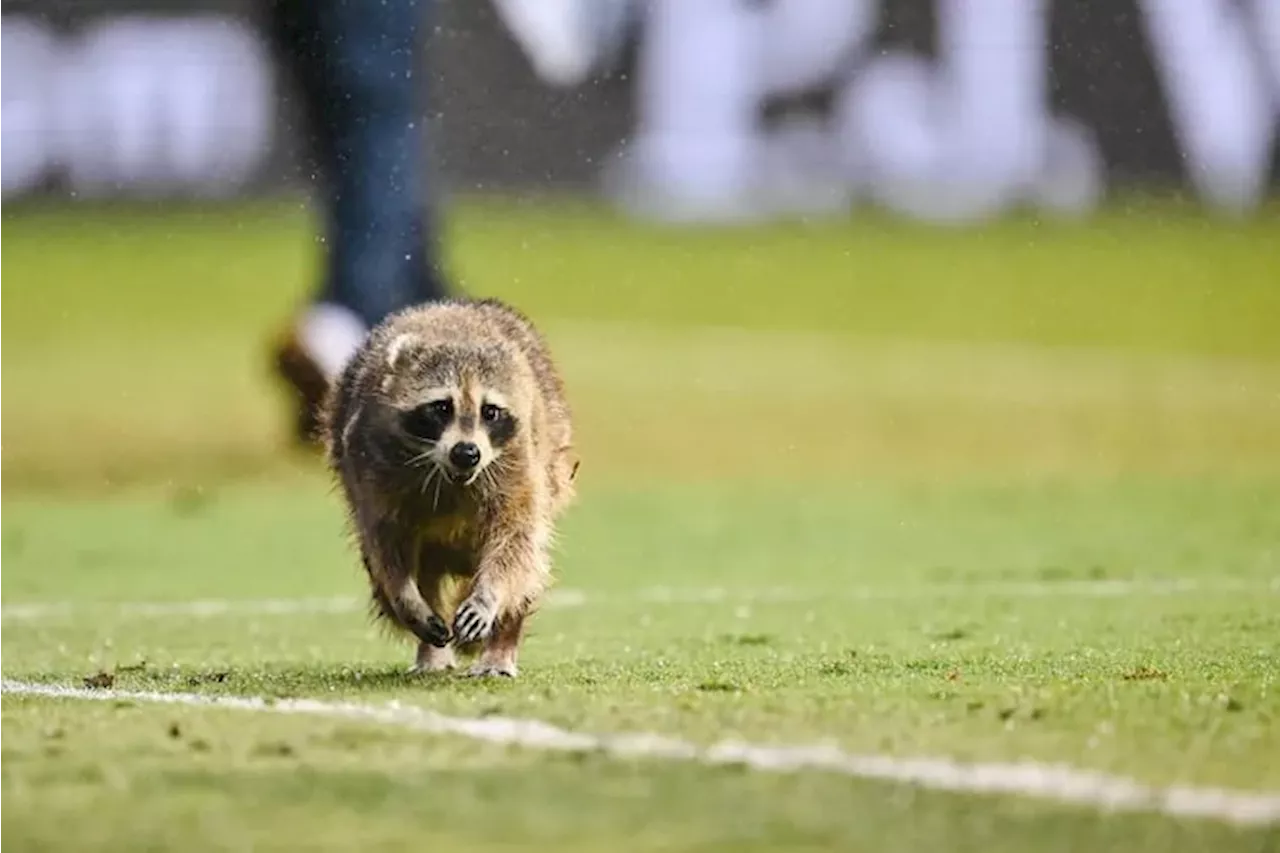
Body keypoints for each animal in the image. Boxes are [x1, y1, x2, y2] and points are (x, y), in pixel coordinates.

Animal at [320, 295, 581, 676]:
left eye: (490, 411)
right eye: (441, 407)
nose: (467, 453)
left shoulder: (520, 461)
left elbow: (515, 540)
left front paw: (489, 597)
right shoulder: (370, 464)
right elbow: (386, 544)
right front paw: (407, 599)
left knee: (529, 565)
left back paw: (500, 645)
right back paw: (431, 648)